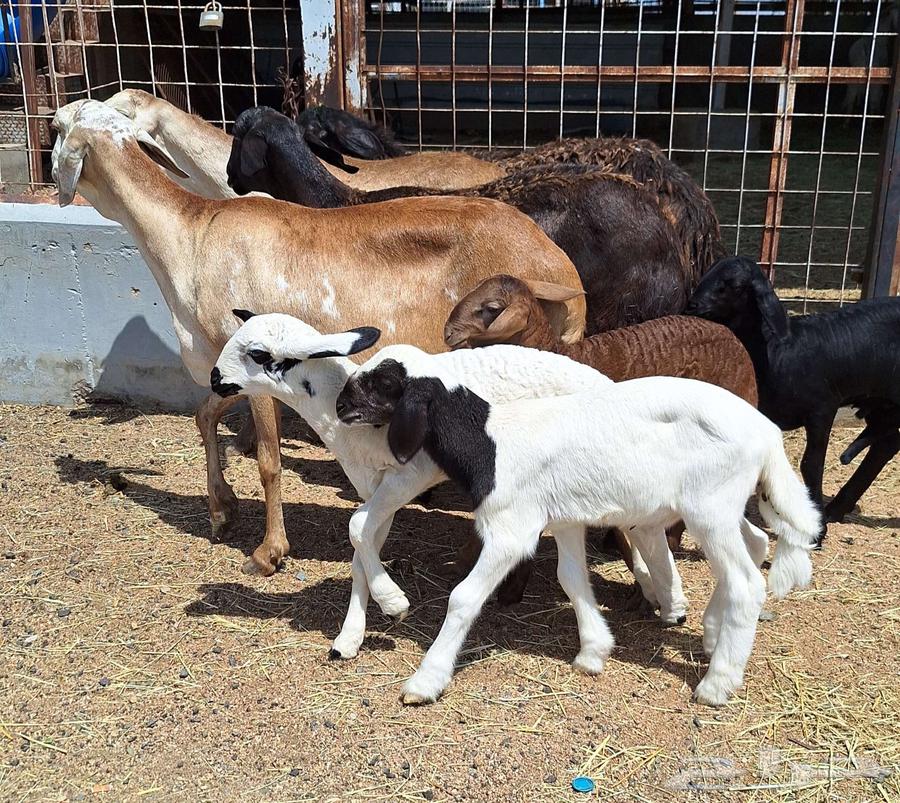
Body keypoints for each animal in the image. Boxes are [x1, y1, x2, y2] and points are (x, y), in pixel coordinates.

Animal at [51, 99, 586, 577]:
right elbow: (205, 416)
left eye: (55, 125)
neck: (192, 236)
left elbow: (268, 461)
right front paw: (222, 509)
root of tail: (563, 271)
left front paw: (268, 553)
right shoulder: (230, 368)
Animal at [210, 312, 636, 661]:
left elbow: (355, 527)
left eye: (258, 354)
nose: (214, 379)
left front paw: (394, 602)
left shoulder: (407, 476)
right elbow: (362, 545)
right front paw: (350, 636)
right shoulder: (375, 489)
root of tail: (607, 383)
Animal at [335, 345, 819, 706]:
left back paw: (717, 684)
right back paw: (714, 635)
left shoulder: (511, 529)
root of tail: (768, 433)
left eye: (384, 382)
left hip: (709, 506)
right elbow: (571, 578)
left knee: (745, 583)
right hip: (724, 505)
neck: (491, 442)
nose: (340, 404)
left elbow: (464, 597)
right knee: (754, 545)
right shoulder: (564, 518)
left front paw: (425, 680)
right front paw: (593, 651)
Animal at [685, 255, 900, 542]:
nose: (692, 305)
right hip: (882, 400)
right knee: (887, 444)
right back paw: (838, 507)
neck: (776, 351)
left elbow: (811, 464)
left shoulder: (822, 409)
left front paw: (817, 529)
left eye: (735, 285)